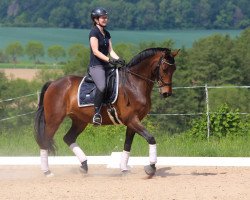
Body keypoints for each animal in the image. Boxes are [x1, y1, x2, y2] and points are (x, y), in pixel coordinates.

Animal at [34, 47, 180, 177]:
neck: (134, 83)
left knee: (68, 138)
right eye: (164, 68)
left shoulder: (133, 122)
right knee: (45, 141)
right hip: (54, 119)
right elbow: (151, 138)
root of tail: (53, 83)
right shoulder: (132, 119)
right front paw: (151, 168)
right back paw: (47, 172)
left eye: (174, 69)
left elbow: (127, 145)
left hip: (79, 121)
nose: (167, 93)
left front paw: (124, 169)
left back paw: (84, 166)